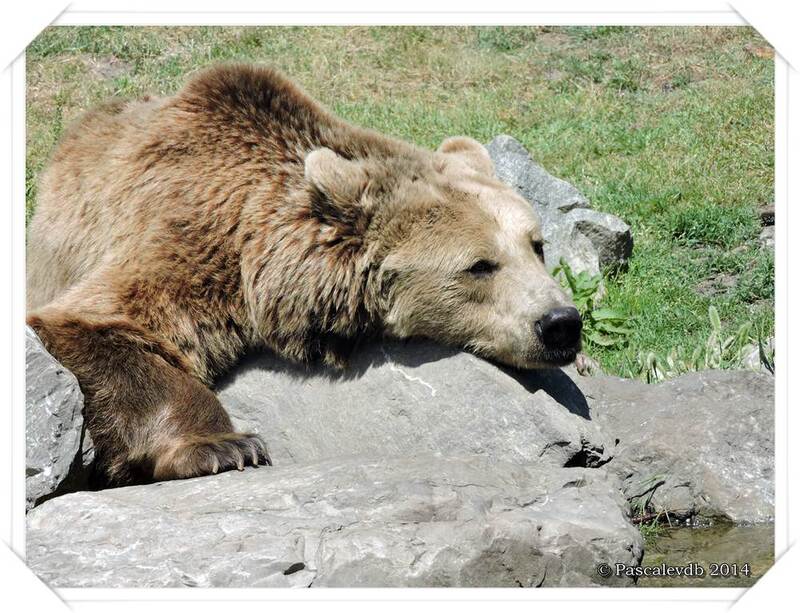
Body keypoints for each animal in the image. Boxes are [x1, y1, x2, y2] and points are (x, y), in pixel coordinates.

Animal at [26, 62, 580, 482]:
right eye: (480, 265)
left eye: (536, 245)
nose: (560, 323)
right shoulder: (189, 235)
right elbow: (97, 321)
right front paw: (228, 446)